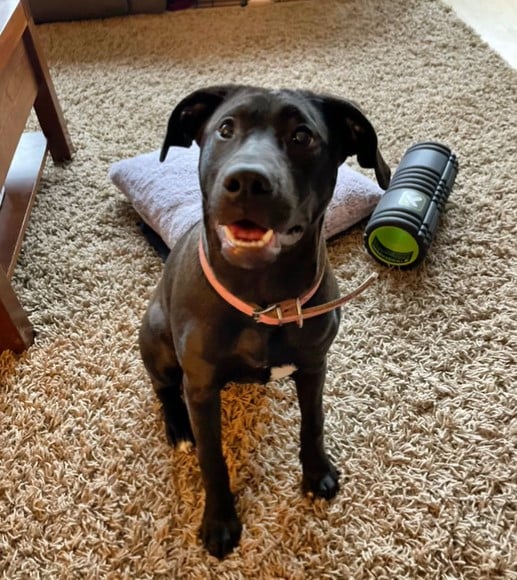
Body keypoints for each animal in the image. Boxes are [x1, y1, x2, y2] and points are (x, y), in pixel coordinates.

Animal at [139, 85, 390, 556]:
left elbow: (313, 423)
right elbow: (212, 458)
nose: (248, 181)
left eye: (302, 136)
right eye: (225, 128)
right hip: (156, 339)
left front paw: (317, 474)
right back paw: (178, 428)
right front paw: (219, 521)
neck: (263, 300)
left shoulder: (314, 366)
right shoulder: (200, 387)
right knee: (164, 389)